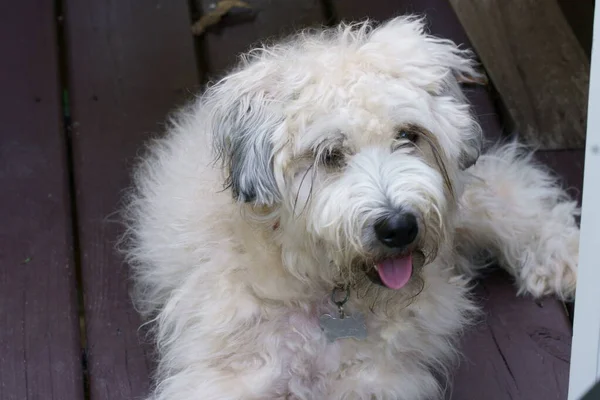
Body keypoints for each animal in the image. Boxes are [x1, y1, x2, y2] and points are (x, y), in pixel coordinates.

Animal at [123, 16, 580, 400]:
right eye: (330, 154)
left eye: (408, 135)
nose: (399, 227)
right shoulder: (231, 374)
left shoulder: (376, 379)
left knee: (509, 184)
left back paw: (564, 257)